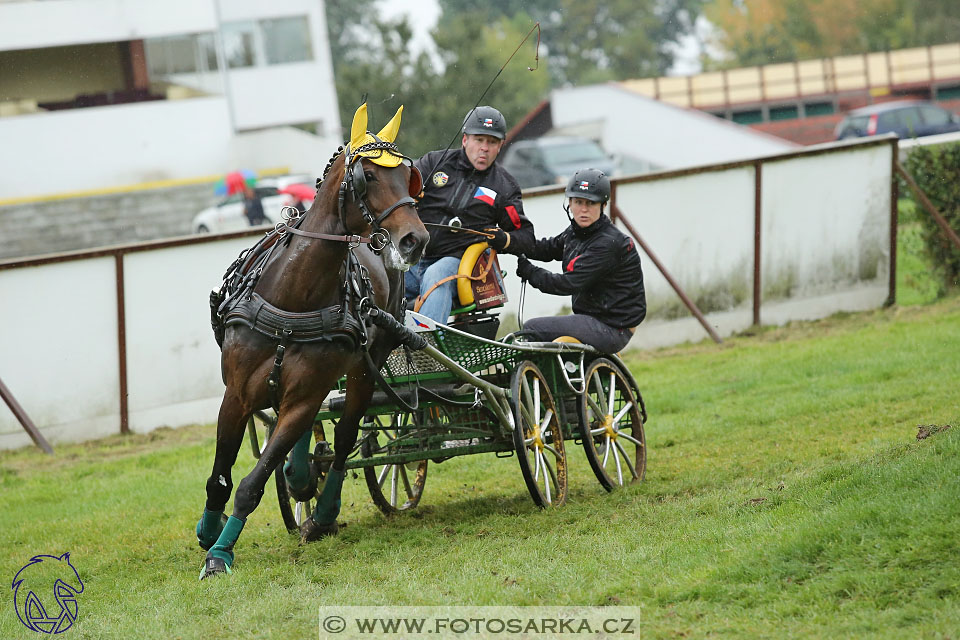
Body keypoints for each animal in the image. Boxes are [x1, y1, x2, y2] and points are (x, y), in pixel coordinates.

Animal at [197, 105, 430, 580]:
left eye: (408, 176)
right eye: (367, 177)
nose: (415, 240)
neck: (293, 294)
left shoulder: (305, 396)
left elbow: (251, 483)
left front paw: (221, 554)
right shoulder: (237, 394)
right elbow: (220, 475)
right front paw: (209, 531)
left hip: (363, 367)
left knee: (343, 437)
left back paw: (322, 512)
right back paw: (301, 477)